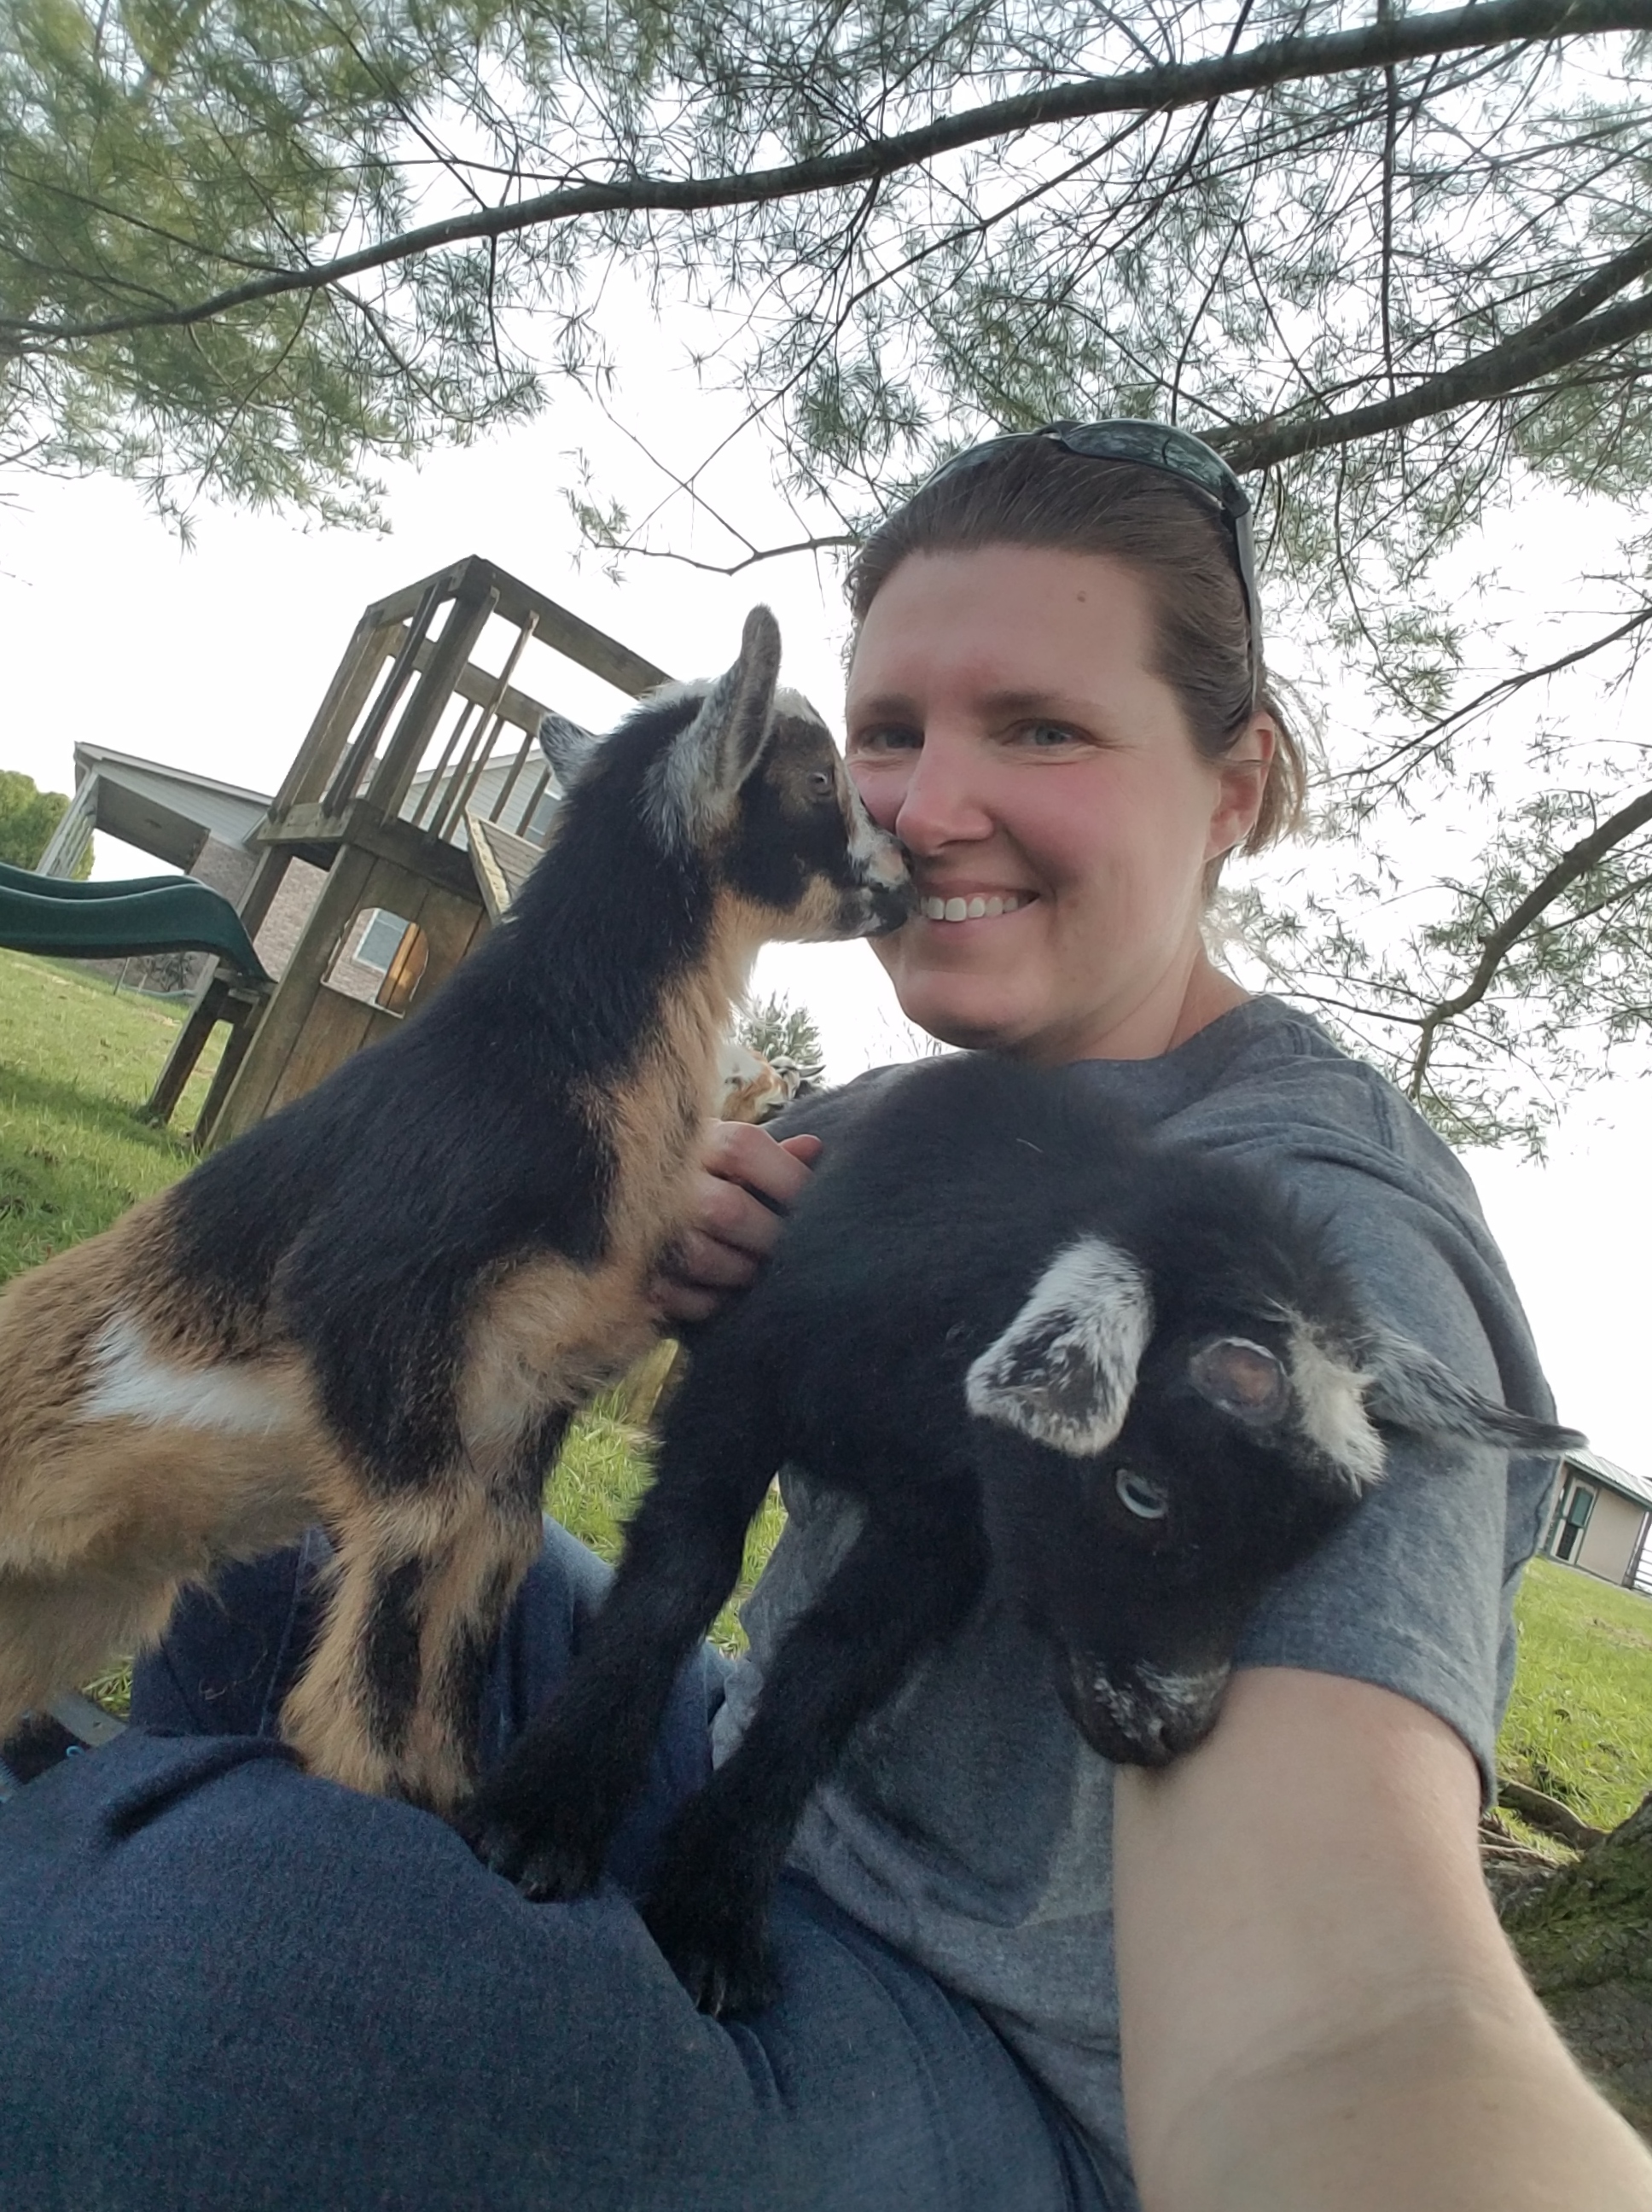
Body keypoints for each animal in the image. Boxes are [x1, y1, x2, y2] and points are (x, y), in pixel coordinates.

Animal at [0, 607, 910, 1814]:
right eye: (816, 777)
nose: (907, 873)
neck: (553, 1058)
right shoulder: (379, 1302)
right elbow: (422, 1536)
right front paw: (368, 1771)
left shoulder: (530, 1392)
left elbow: (495, 1555)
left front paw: (452, 1784)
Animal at [466, 1051, 1582, 2015]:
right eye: (1142, 1490)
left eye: (1305, 1544)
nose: (1165, 1729)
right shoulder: (742, 1382)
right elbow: (681, 1577)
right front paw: (542, 1816)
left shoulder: (948, 1523)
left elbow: (833, 1675)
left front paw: (714, 1917)